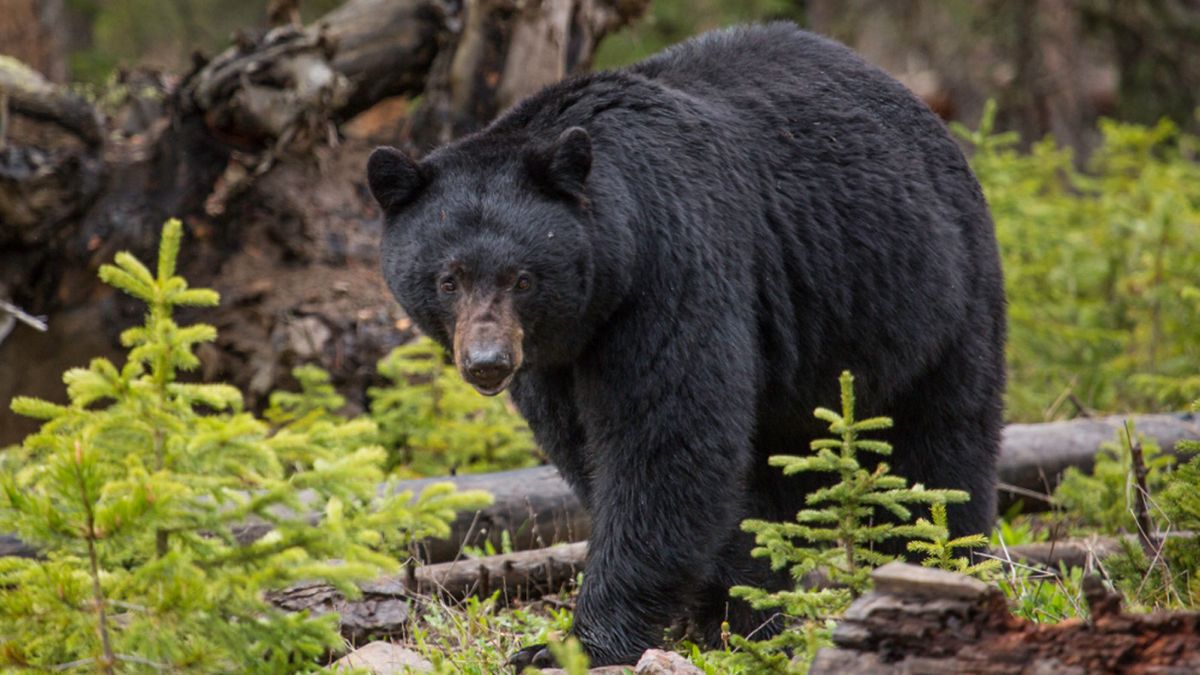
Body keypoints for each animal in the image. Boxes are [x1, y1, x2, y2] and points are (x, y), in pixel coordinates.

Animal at [362, 22, 1003, 667]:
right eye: (448, 279)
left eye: (523, 278)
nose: (488, 364)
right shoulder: (556, 356)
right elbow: (589, 448)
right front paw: (727, 610)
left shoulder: (673, 267)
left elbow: (666, 443)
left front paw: (574, 644)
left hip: (931, 298)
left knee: (940, 447)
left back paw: (938, 564)